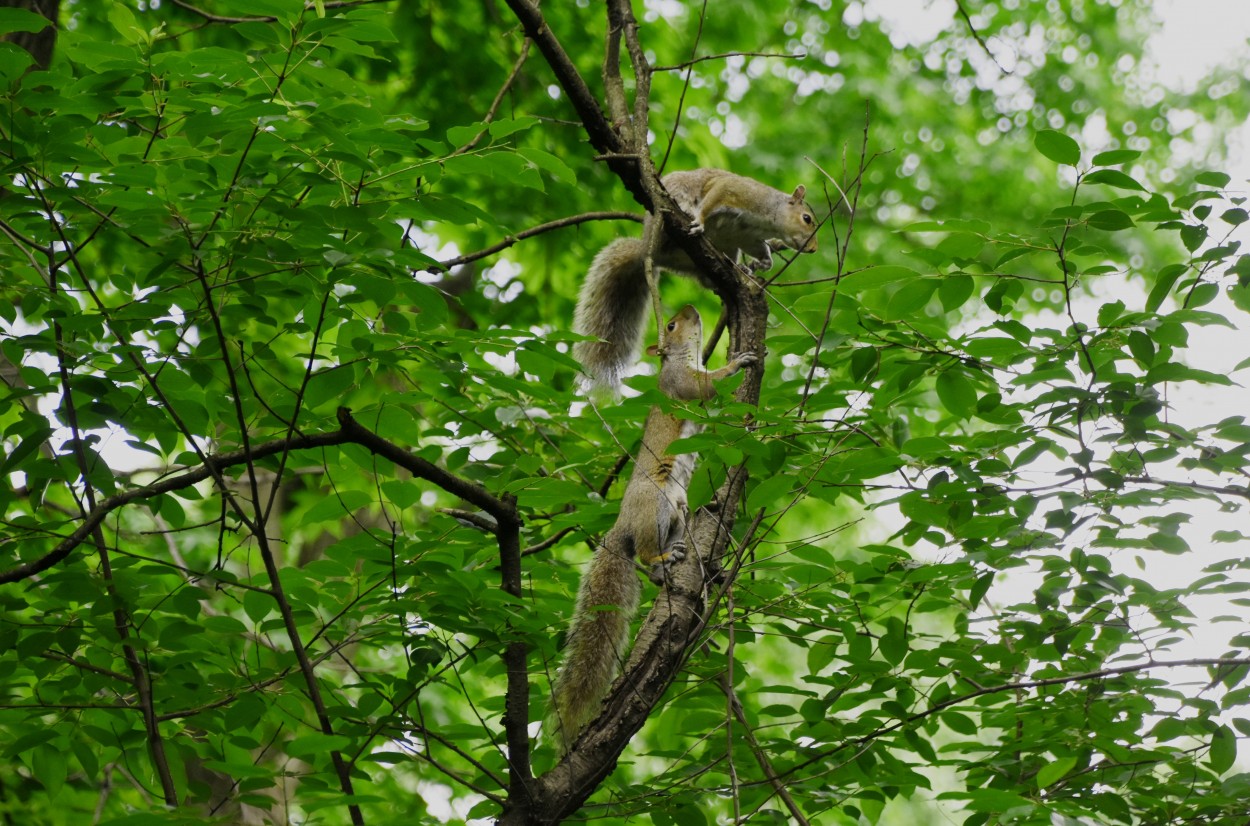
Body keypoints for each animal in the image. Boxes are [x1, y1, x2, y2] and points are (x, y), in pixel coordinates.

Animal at [545, 304, 750, 754]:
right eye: (671, 325)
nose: (692, 308)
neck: (683, 358)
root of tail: (622, 523)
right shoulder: (679, 383)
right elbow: (705, 386)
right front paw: (738, 363)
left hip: (675, 516)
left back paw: (668, 562)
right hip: (653, 506)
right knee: (641, 550)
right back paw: (659, 556)